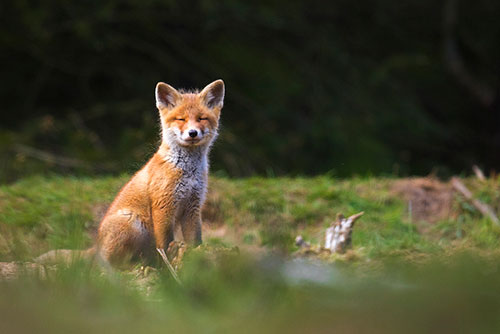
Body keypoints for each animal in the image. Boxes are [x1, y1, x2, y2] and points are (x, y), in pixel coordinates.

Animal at [38, 79, 226, 268]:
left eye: (202, 118)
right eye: (181, 119)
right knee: (107, 263)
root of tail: (96, 245)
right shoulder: (163, 206)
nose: (193, 133)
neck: (187, 171)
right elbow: (164, 243)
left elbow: (195, 241)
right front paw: (166, 265)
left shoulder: (193, 207)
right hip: (132, 223)